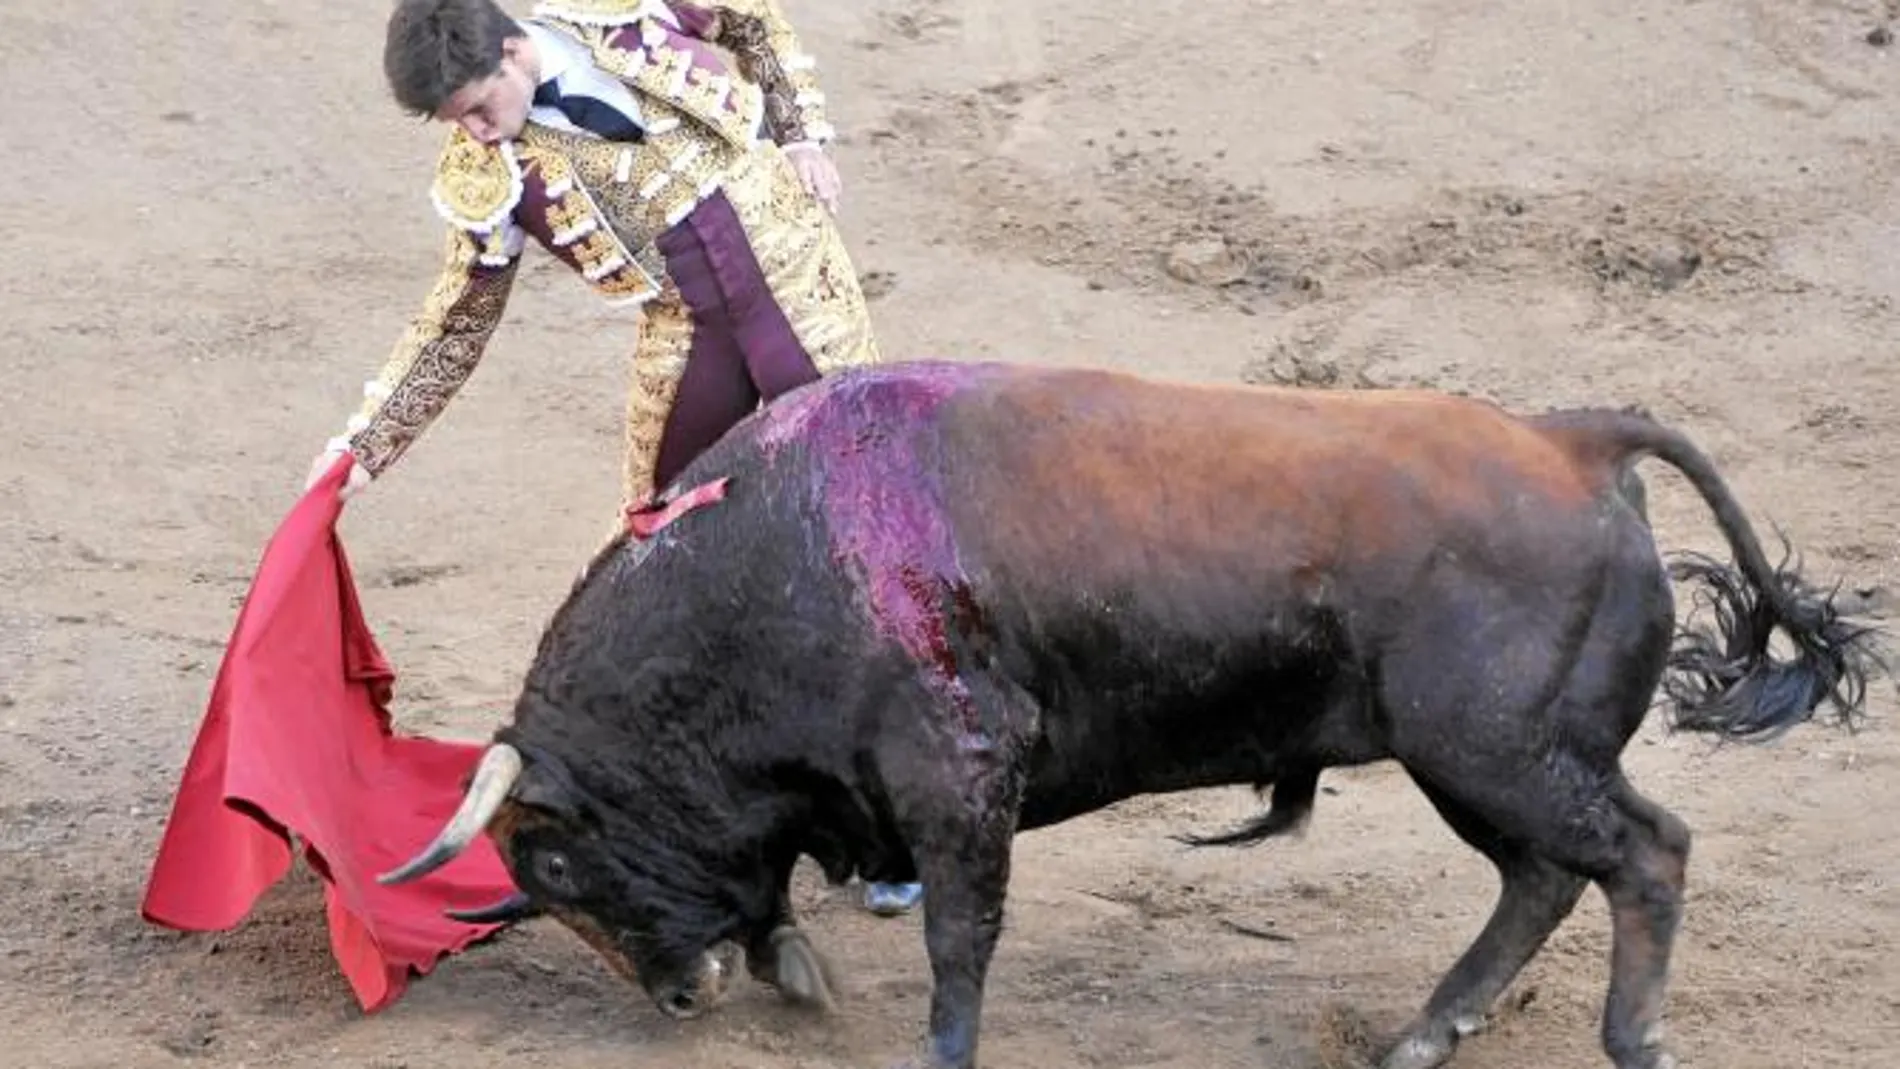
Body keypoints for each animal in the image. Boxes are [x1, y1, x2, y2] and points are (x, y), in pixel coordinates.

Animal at [378, 362, 1877, 1069]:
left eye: (555, 856)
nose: (676, 999)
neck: (778, 552)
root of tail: (1572, 440)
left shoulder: (957, 776)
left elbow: (960, 939)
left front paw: (935, 1045)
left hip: (1497, 750)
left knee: (1644, 854)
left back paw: (1632, 1039)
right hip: (1473, 763)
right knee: (1544, 880)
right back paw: (1417, 1035)